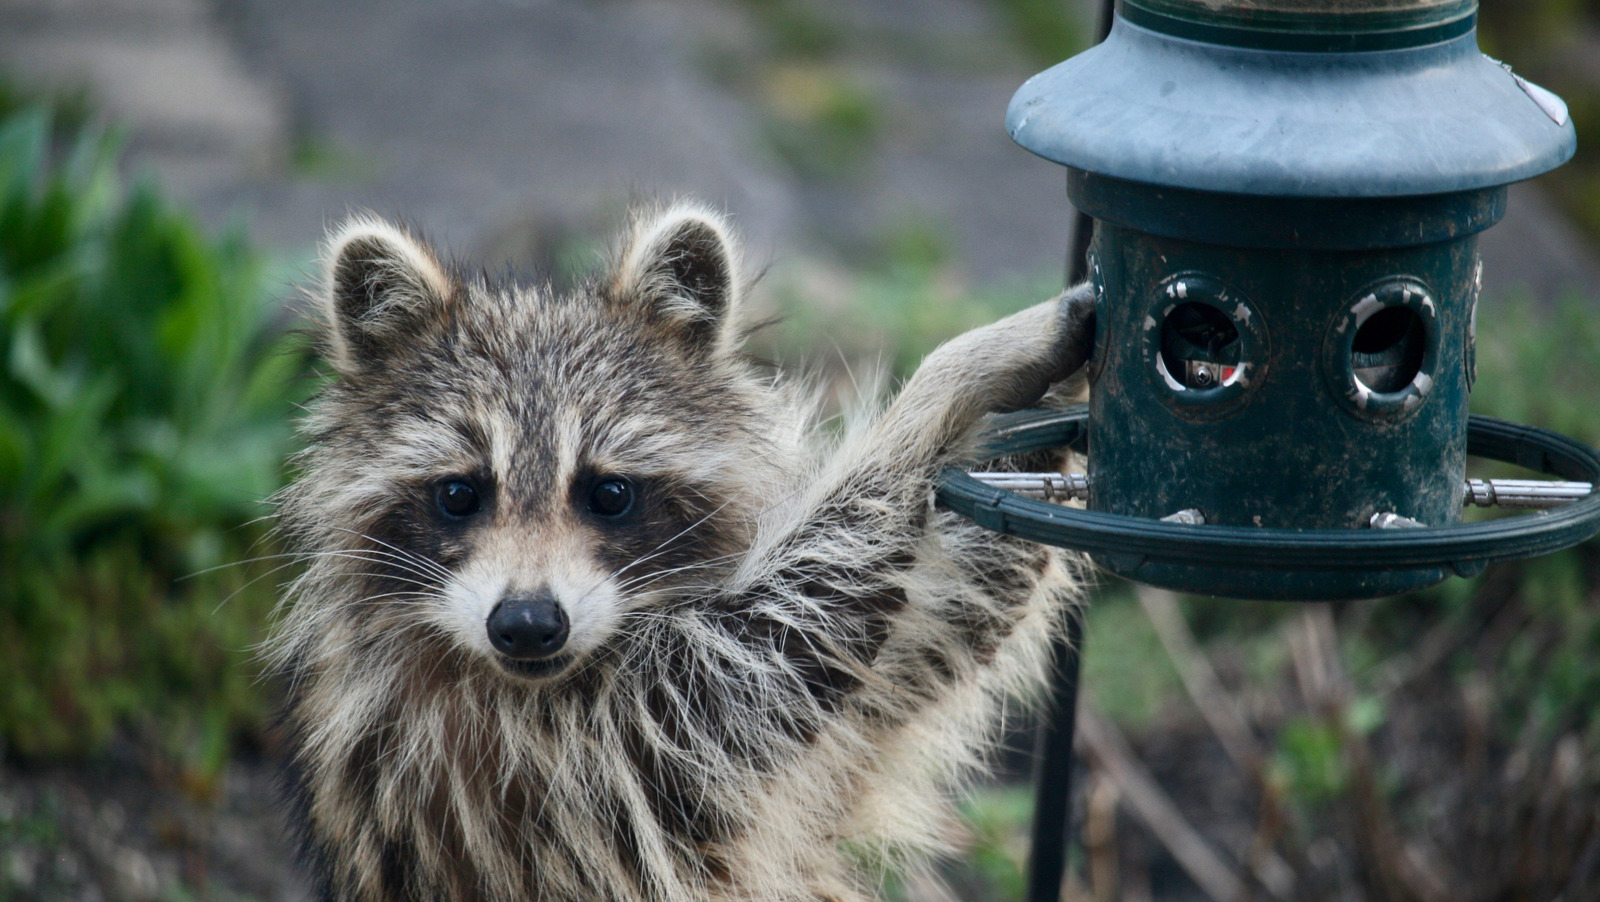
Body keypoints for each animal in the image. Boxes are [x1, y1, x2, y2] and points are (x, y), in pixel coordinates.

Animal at [269, 202, 1094, 902]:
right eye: (459, 494)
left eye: (609, 492)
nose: (528, 624)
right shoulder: (493, 751)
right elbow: (765, 658)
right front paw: (950, 380)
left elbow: (929, 641)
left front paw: (1053, 416)